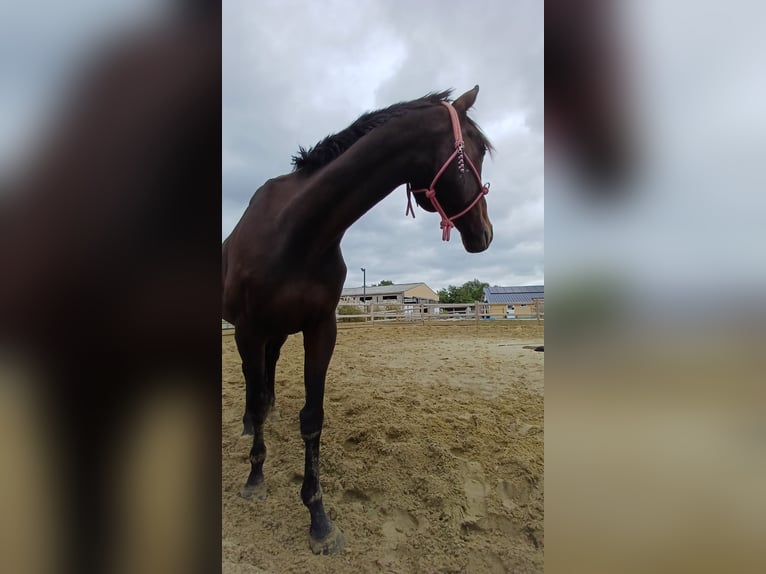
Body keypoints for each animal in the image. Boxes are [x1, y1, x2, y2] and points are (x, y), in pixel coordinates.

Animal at [222, 84, 498, 552]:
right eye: (476, 151)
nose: (486, 232)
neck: (298, 231)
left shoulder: (320, 328)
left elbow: (312, 419)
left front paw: (318, 519)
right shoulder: (249, 329)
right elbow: (257, 401)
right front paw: (255, 478)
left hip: (276, 334)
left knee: (266, 374)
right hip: (251, 333)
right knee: (252, 383)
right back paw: (248, 427)